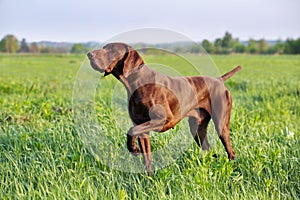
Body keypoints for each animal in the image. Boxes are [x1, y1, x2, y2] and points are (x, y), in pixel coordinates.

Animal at [87, 43, 241, 174]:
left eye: (112, 50)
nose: (89, 54)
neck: (138, 83)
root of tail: (219, 80)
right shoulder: (143, 130)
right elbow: (147, 158)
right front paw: (150, 180)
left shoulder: (165, 120)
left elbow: (131, 131)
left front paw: (133, 148)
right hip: (197, 130)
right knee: (209, 149)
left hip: (221, 125)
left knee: (231, 152)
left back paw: (233, 171)